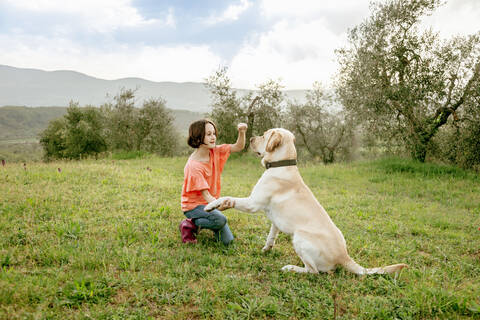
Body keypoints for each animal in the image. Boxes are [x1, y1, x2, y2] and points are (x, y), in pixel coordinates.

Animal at [204, 127, 406, 276]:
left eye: (264, 135)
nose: (251, 138)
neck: (282, 164)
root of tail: (344, 256)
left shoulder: (252, 203)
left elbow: (228, 198)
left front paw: (211, 205)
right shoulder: (275, 219)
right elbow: (271, 235)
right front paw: (266, 249)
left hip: (299, 237)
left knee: (314, 271)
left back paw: (291, 268)